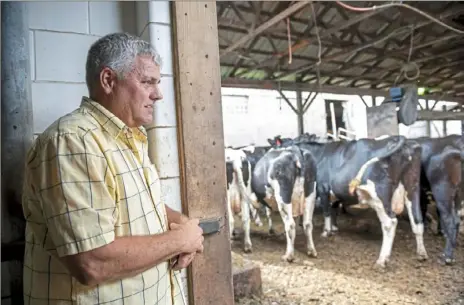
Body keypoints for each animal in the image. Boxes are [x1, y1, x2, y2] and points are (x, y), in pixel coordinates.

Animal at [274, 134, 430, 268]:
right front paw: (334, 228)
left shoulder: (323, 188)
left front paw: (326, 231)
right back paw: (421, 254)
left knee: (390, 223)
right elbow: (334, 209)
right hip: (412, 187)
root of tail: (402, 140)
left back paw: (382, 260)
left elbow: (326, 211)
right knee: (417, 219)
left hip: (379, 194)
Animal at [414, 135, 464, 264]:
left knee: (452, 220)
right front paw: (440, 231)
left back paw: (447, 257)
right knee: (455, 219)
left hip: (442, 190)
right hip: (457, 194)